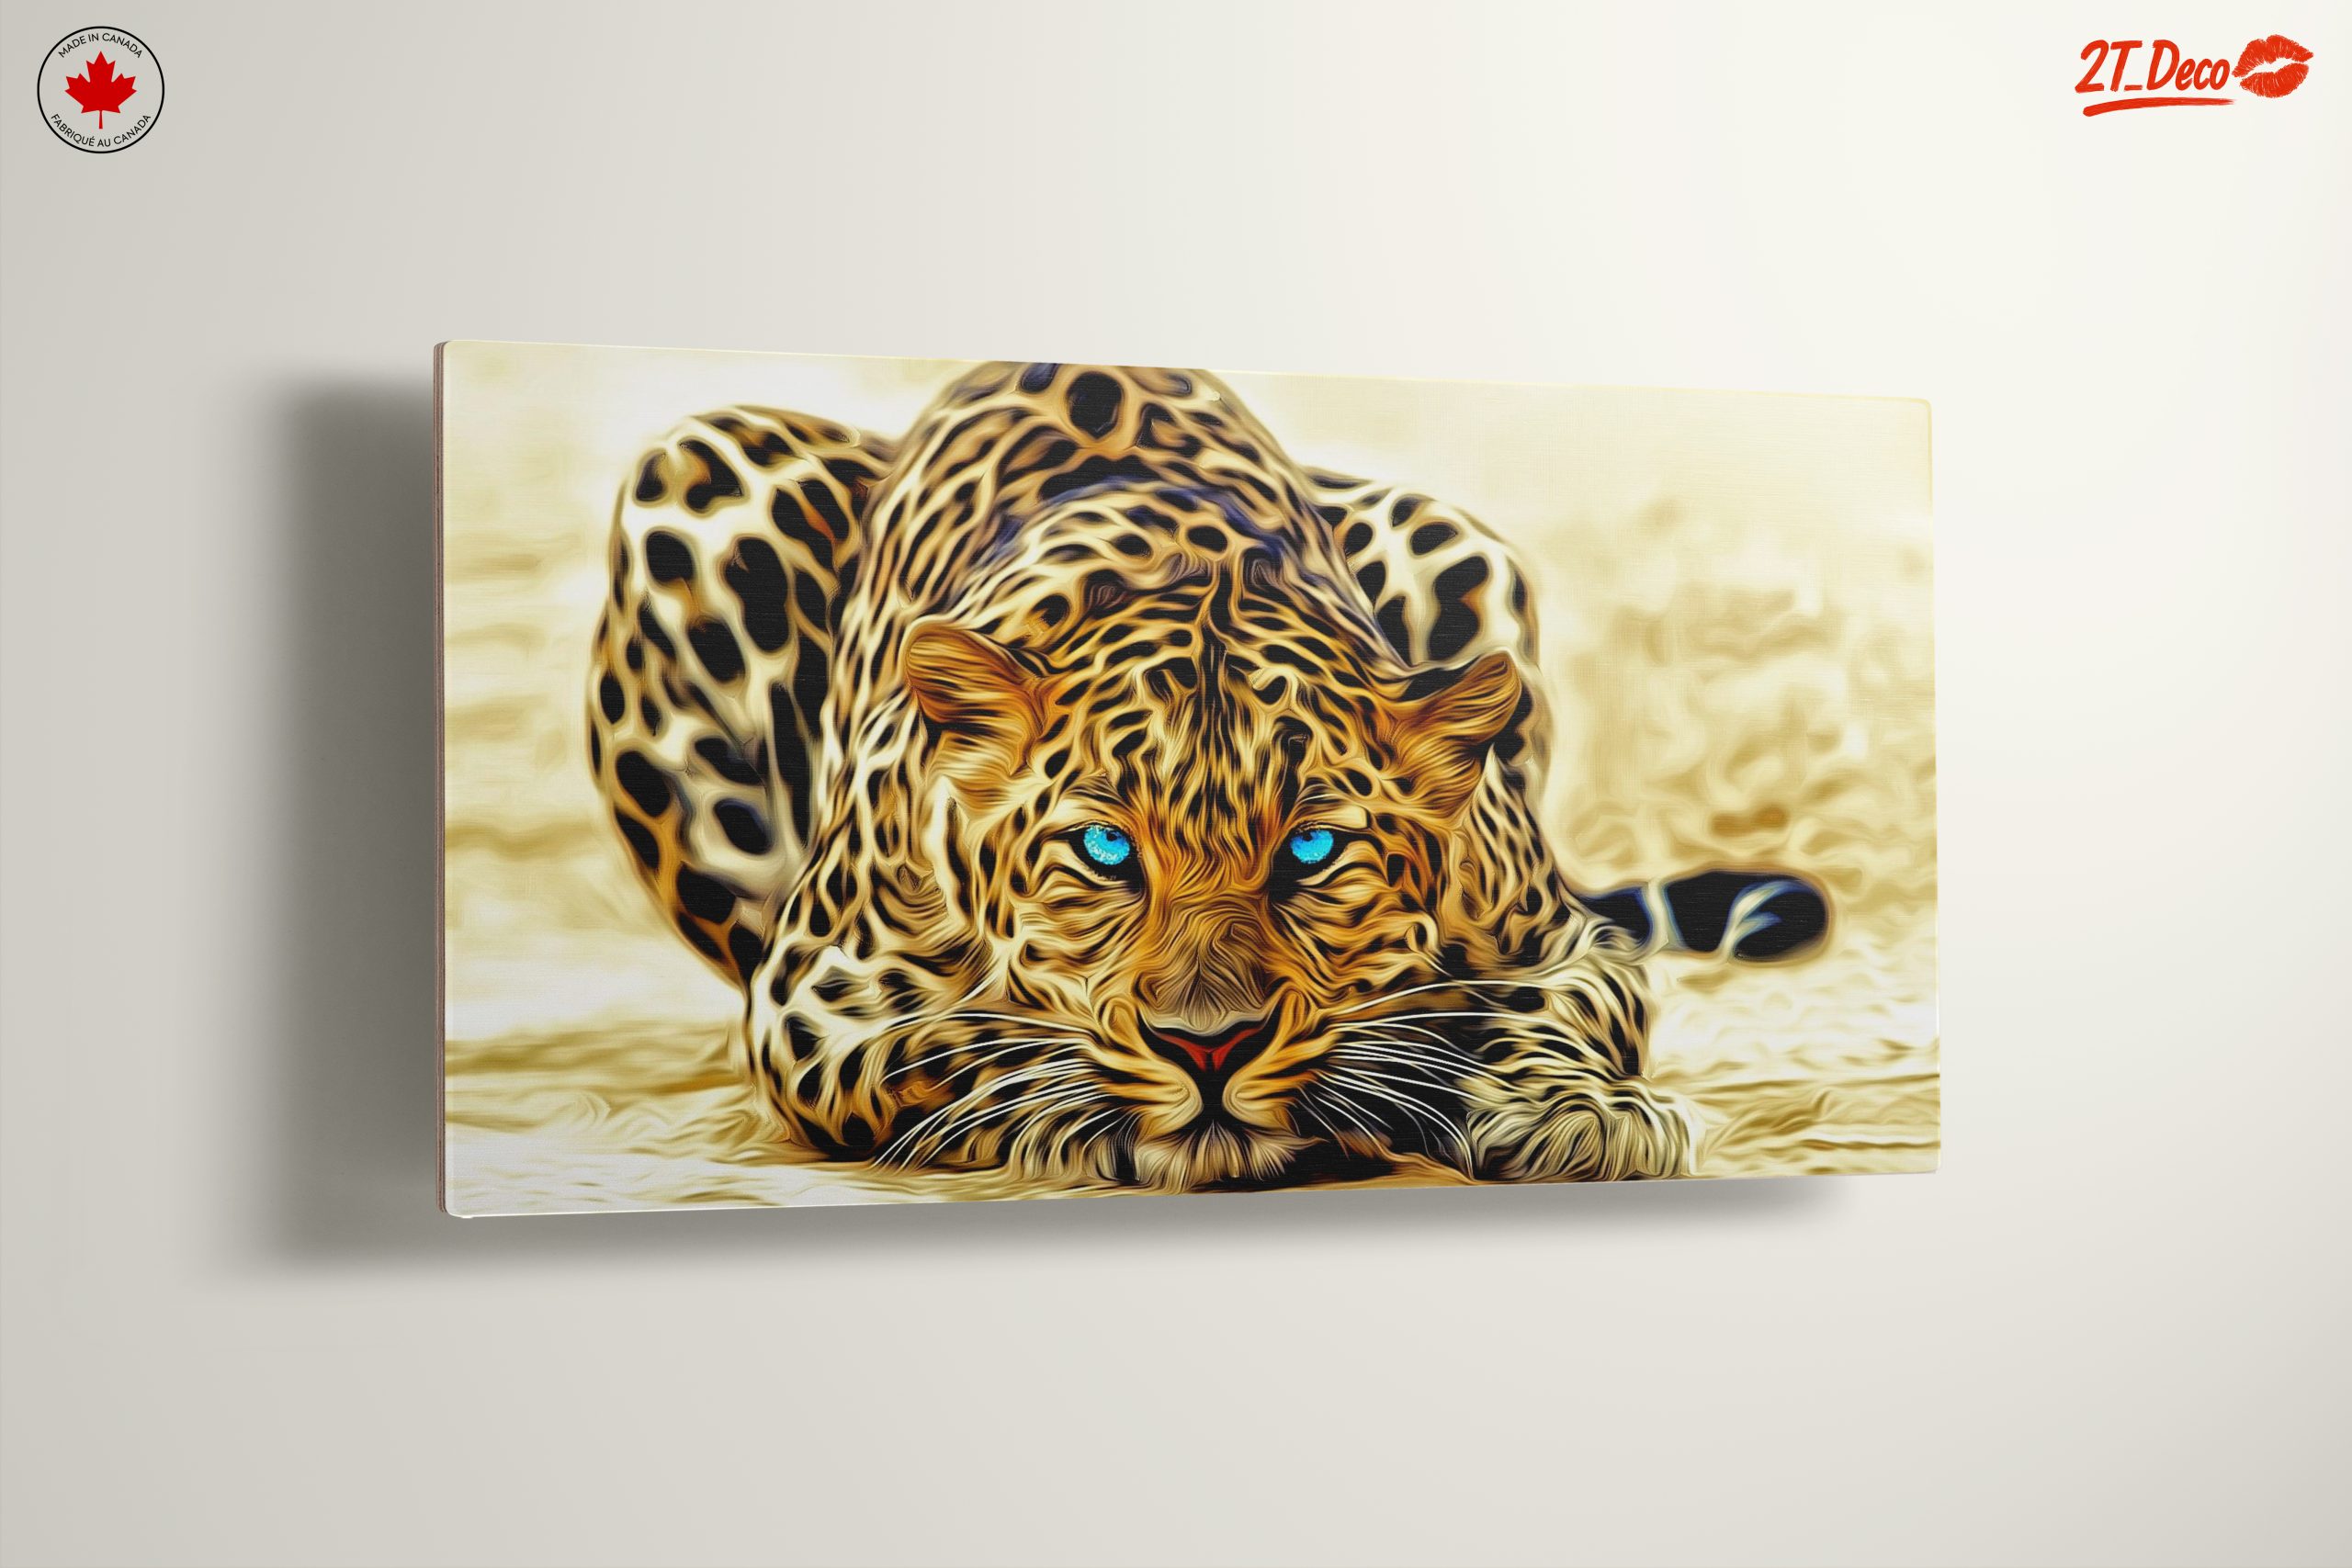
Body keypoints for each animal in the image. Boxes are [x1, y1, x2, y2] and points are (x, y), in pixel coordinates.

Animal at [586, 362, 1827, 1193]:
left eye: (1313, 850)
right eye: (1104, 851)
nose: (1210, 1047)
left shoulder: (1561, 939)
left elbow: (1566, 1011)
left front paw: (1577, 1113)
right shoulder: (813, 1001)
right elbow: (955, 1047)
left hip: (1449, 534)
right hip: (694, 472)